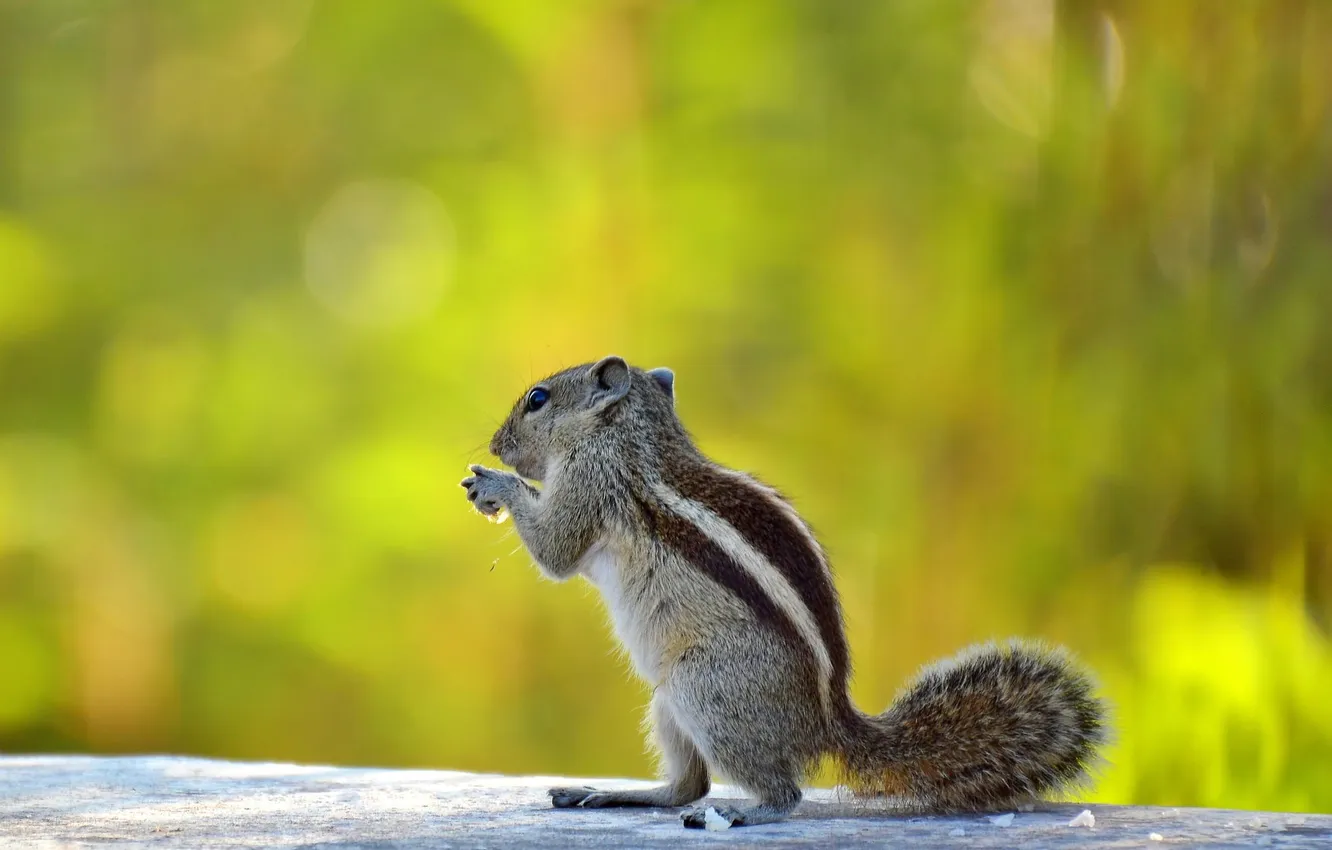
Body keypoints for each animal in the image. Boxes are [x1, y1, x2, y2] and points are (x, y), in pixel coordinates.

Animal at [461, 356, 1107, 829]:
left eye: (538, 399)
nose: (494, 445)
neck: (631, 435)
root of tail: (826, 722)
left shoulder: (591, 484)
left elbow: (556, 550)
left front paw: (498, 484)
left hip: (707, 690)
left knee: (781, 792)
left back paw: (750, 812)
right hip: (670, 699)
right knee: (686, 785)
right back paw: (614, 795)